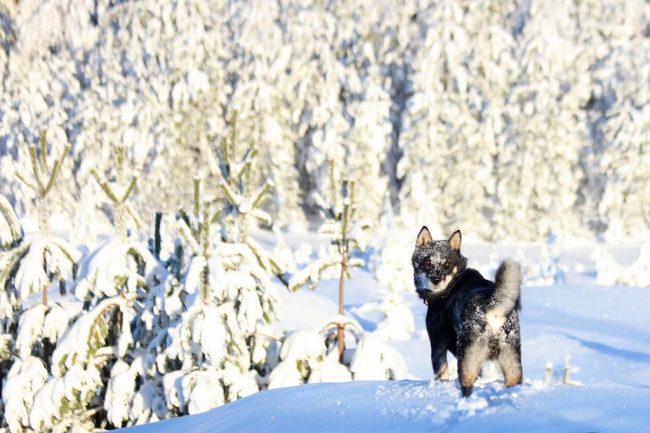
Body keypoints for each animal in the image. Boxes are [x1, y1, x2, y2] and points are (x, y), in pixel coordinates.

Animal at [410, 226, 520, 394]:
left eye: (447, 264)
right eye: (427, 262)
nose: (436, 279)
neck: (452, 287)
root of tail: (493, 306)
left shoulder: (437, 343)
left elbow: (441, 374)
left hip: (467, 354)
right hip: (510, 354)